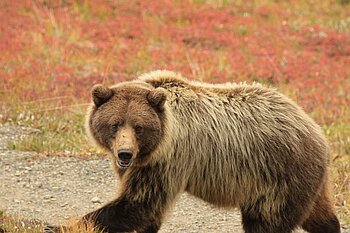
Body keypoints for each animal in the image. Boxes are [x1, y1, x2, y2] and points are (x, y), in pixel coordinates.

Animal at [43, 70, 340, 232]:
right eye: (114, 124)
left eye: (139, 126)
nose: (124, 154)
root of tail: (316, 130)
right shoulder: (144, 165)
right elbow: (146, 210)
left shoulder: (168, 160)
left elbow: (137, 203)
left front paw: (56, 224)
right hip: (305, 182)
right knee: (319, 216)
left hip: (277, 177)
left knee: (267, 222)